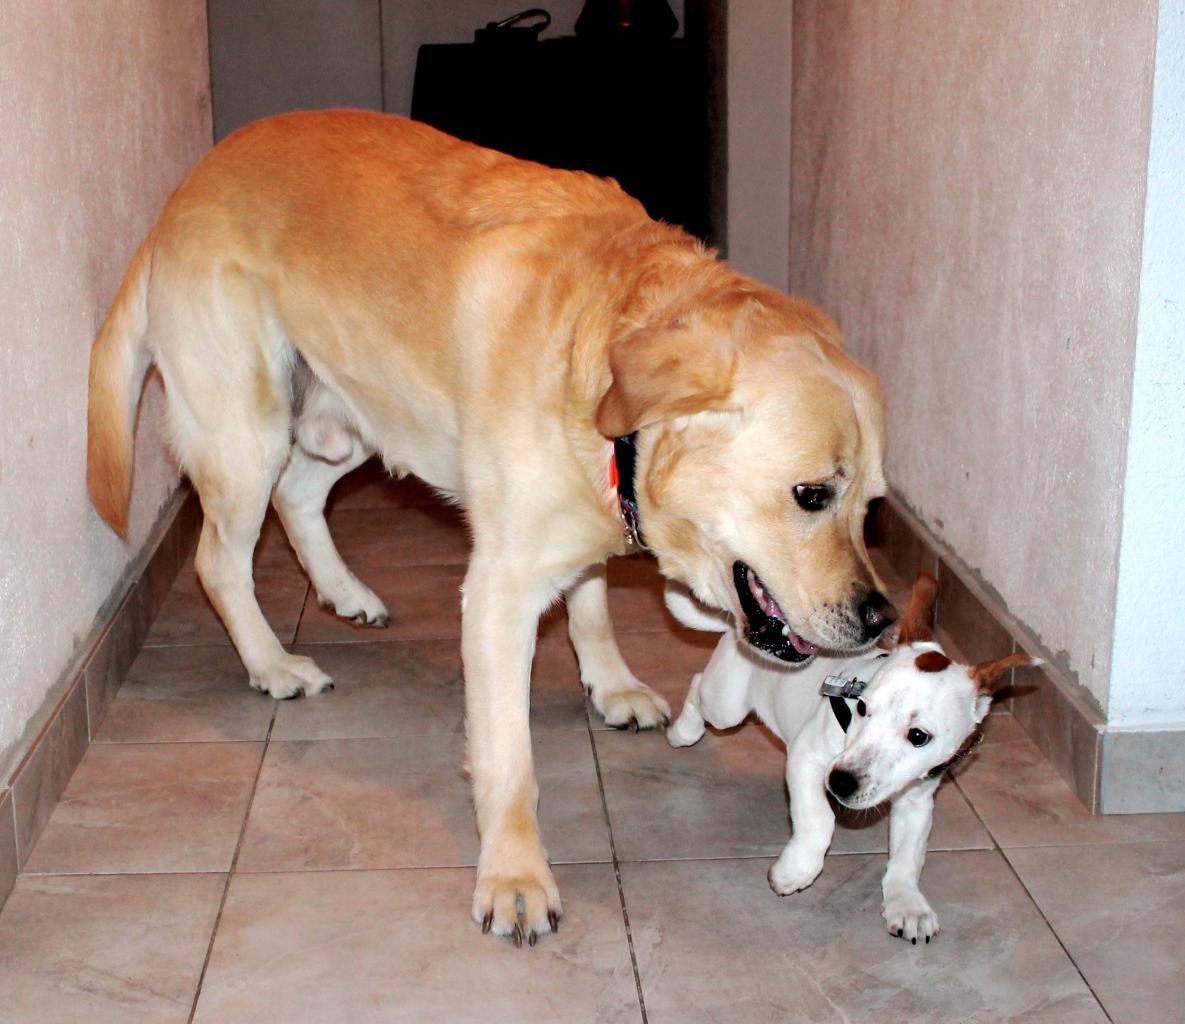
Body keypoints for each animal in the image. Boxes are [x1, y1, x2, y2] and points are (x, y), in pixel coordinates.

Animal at [673, 571, 1033, 938]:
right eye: (861, 707)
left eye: (918, 736)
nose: (840, 783)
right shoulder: (807, 758)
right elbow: (819, 819)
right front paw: (796, 870)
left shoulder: (916, 801)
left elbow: (907, 856)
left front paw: (907, 904)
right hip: (726, 705)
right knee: (698, 686)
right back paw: (683, 731)